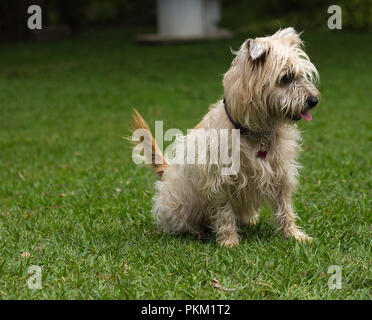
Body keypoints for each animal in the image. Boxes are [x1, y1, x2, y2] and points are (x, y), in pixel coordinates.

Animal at [130, 27, 320, 248]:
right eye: (286, 78)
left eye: (301, 75)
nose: (314, 101)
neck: (255, 132)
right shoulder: (220, 181)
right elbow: (224, 212)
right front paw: (229, 242)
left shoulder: (281, 173)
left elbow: (284, 206)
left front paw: (293, 235)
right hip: (179, 207)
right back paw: (199, 232)